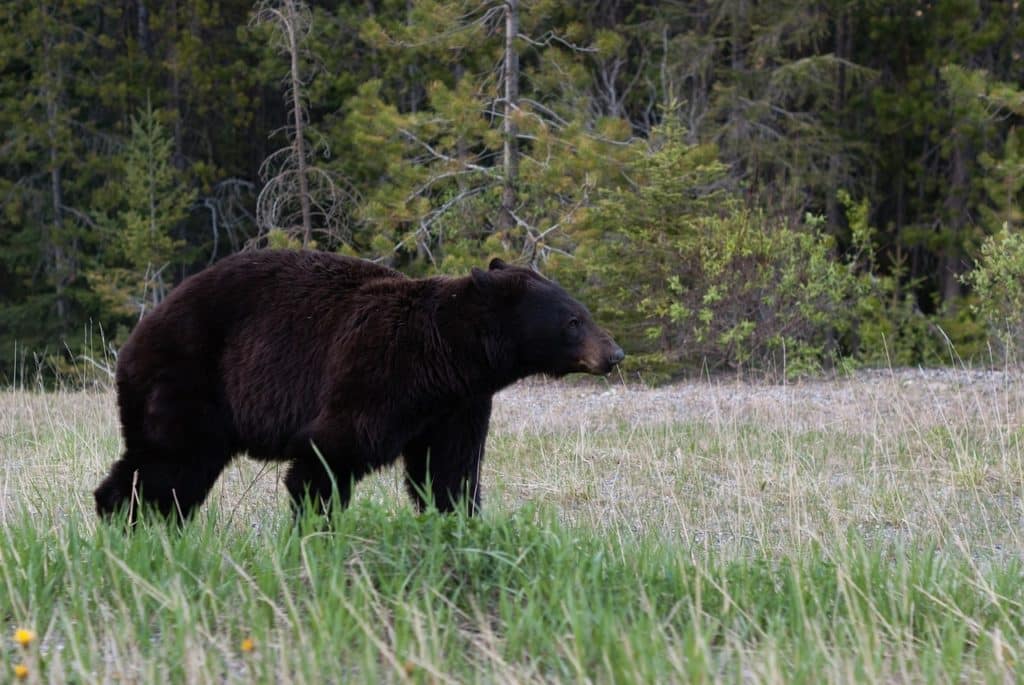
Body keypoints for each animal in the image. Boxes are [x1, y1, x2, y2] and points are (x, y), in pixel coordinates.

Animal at [94, 250, 624, 521]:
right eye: (573, 320)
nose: (614, 353)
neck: (446, 356)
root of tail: (137, 336)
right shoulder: (375, 371)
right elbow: (330, 454)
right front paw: (315, 529)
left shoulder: (459, 406)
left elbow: (449, 470)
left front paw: (459, 523)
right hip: (189, 378)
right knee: (172, 464)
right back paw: (137, 523)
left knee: (159, 467)